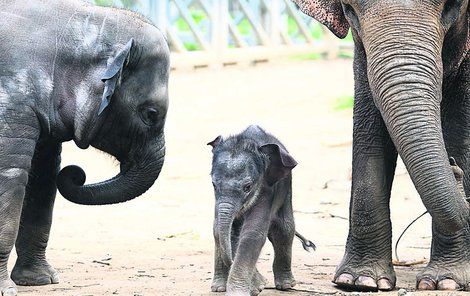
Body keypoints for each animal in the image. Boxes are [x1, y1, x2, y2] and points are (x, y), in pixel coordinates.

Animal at [0, 1, 169, 294]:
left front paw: (40, 280)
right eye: (150, 114)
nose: (76, 174)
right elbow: (11, 175)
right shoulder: (12, 99)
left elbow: (43, 175)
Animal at [207, 125, 314, 296]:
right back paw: (219, 288)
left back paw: (286, 286)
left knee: (284, 229)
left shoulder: (267, 189)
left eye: (248, 187)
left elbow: (252, 232)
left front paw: (243, 291)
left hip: (286, 188)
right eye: (213, 184)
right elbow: (221, 230)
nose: (262, 283)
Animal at [296, 0, 468, 292]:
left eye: (451, 8)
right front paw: (359, 281)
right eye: (350, 11)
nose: (454, 169)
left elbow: (459, 125)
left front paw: (446, 282)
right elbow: (369, 121)